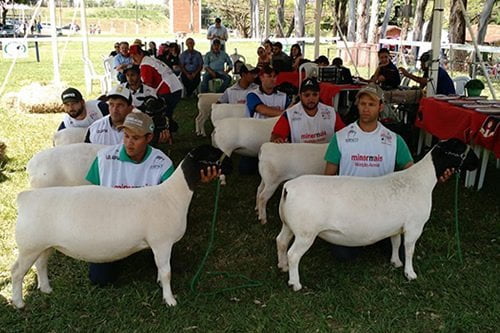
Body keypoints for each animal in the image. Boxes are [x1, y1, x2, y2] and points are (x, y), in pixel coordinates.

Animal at [10, 144, 231, 308]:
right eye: (212, 154)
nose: (229, 164)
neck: (173, 195)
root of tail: (24, 198)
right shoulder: (161, 242)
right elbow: (167, 272)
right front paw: (170, 300)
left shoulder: (159, 246)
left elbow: (161, 269)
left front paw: (160, 284)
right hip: (29, 246)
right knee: (16, 272)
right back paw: (19, 303)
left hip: (44, 245)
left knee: (41, 264)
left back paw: (46, 289)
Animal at [276, 139, 478, 290]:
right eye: (460, 148)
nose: (475, 162)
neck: (421, 180)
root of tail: (289, 188)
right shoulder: (414, 226)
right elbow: (409, 249)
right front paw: (410, 273)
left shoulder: (397, 227)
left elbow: (395, 243)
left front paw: (396, 262)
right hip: (306, 232)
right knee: (294, 254)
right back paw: (295, 283)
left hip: (289, 224)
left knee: (281, 241)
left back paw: (282, 266)